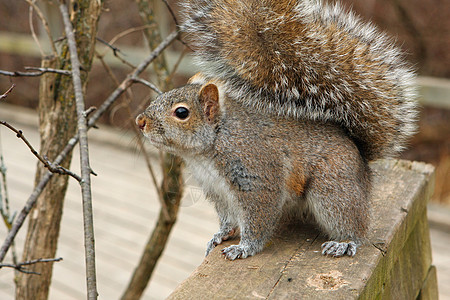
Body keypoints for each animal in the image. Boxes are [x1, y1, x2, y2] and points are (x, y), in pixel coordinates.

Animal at [134, 0, 418, 260]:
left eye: (181, 112)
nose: (140, 121)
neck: (212, 145)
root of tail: (361, 159)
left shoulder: (258, 176)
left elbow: (258, 218)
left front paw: (244, 247)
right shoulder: (217, 190)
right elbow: (227, 217)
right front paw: (221, 235)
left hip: (333, 189)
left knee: (353, 222)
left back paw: (345, 242)